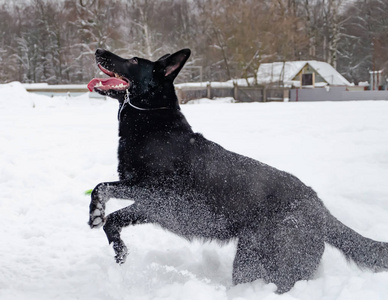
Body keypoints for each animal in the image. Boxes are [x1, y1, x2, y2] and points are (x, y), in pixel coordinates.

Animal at [87, 48, 388, 292]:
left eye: (134, 60)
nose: (99, 50)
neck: (153, 123)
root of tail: (320, 208)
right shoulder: (151, 205)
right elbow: (113, 220)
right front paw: (119, 250)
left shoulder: (158, 193)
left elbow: (101, 187)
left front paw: (95, 211)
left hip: (255, 260)